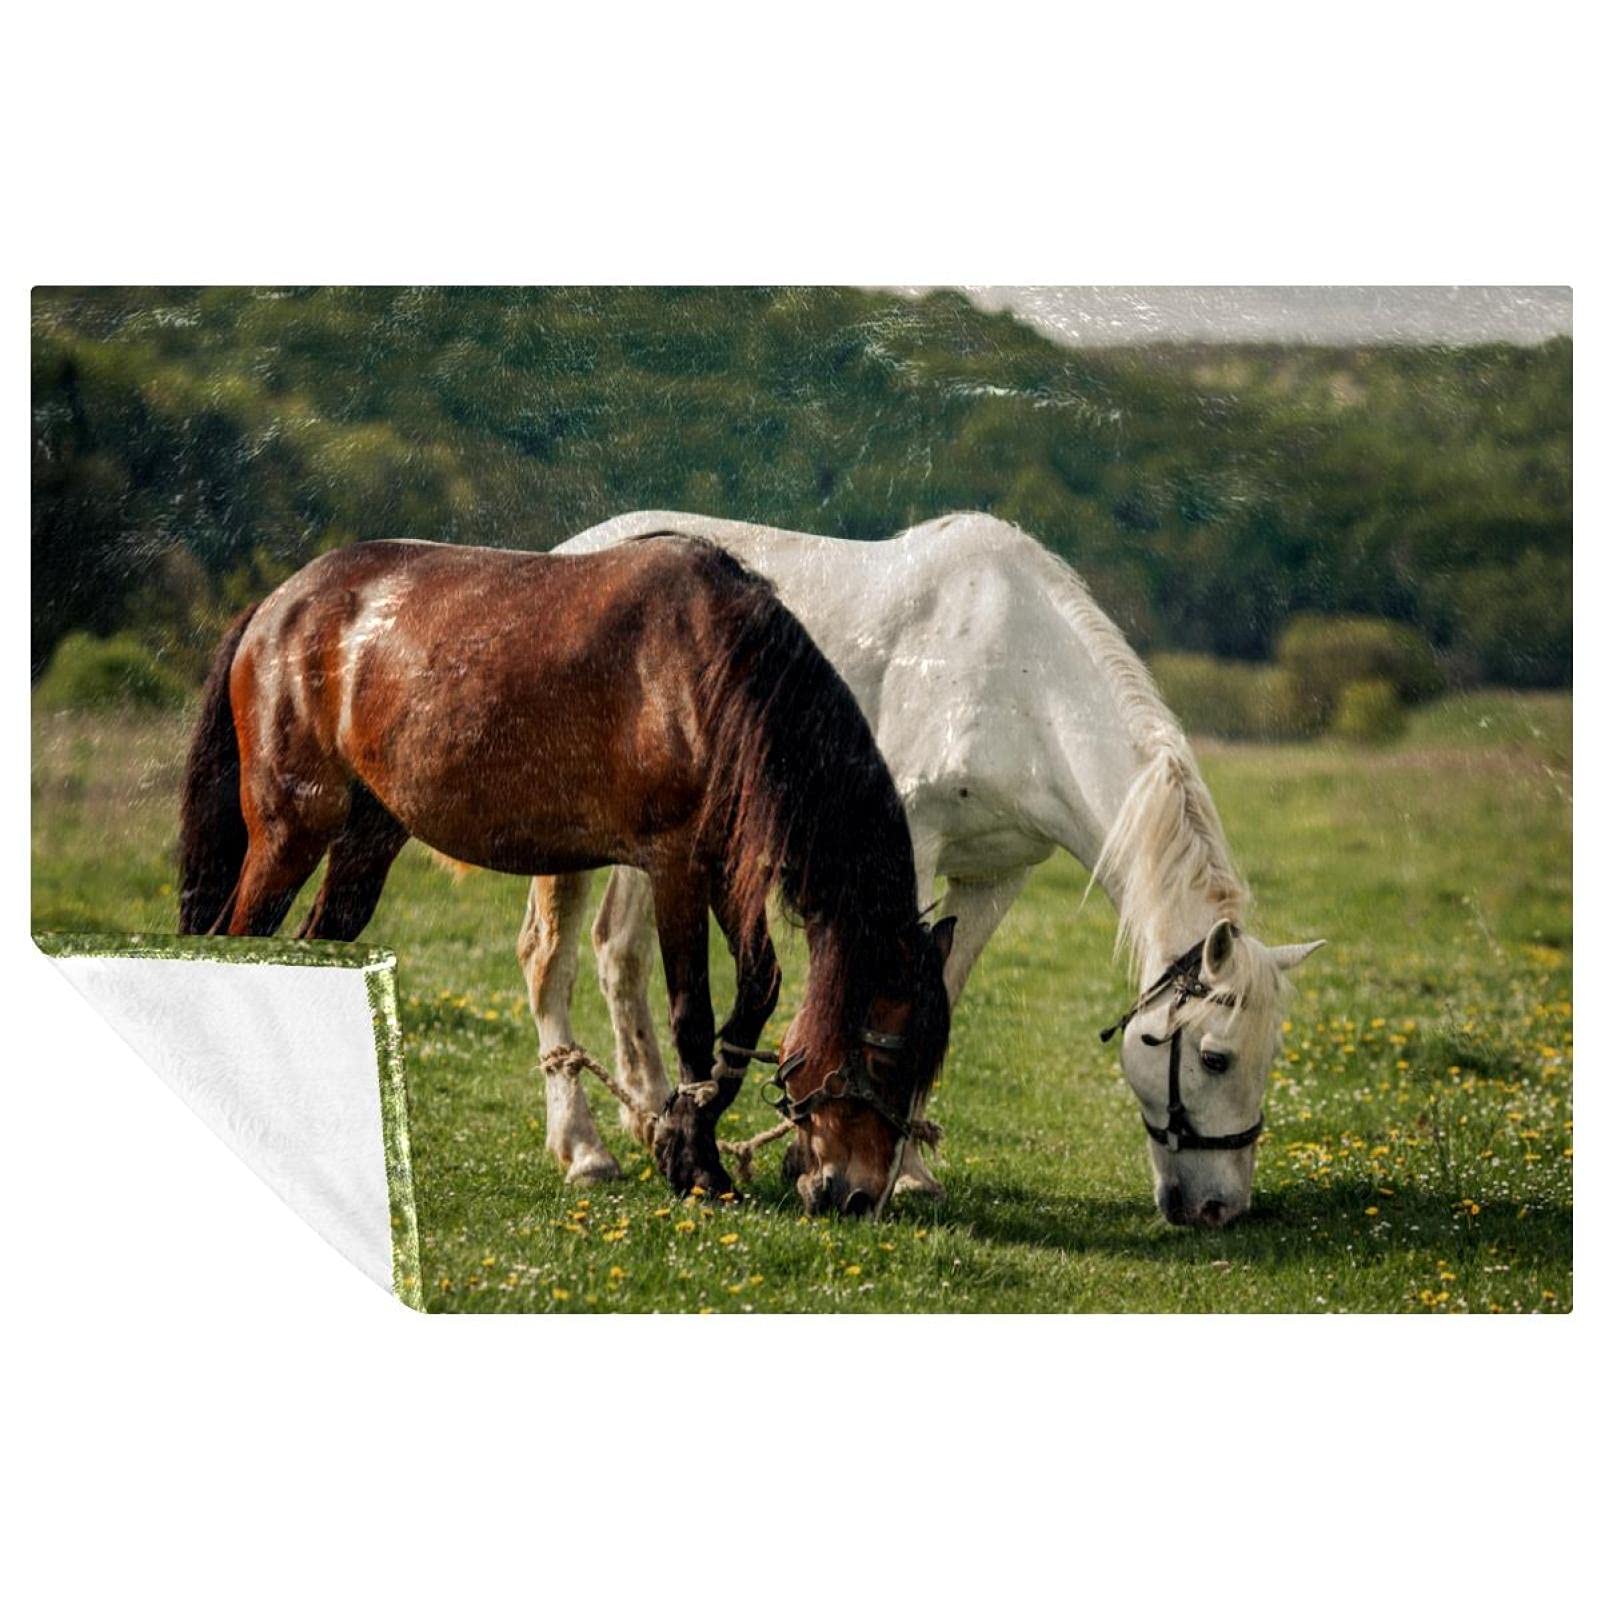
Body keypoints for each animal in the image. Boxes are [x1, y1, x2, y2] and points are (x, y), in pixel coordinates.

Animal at [176, 533, 956, 1216]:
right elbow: (693, 1017)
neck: (712, 672)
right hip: (289, 832)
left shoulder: (724, 868)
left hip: (367, 841)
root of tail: (277, 606)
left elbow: (757, 990)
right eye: (889, 1061)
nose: (857, 1196)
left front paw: (681, 1136)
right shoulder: (676, 867)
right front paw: (696, 1162)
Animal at [528, 511, 1325, 1227]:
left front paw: (906, 1168)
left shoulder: (997, 875)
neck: (1019, 682)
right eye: (1215, 1058)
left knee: (618, 952)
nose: (1219, 1208)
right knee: (549, 961)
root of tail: (571, 551)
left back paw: (654, 1117)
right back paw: (584, 1149)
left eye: (1269, 1056)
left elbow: (939, 991)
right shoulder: (906, 846)